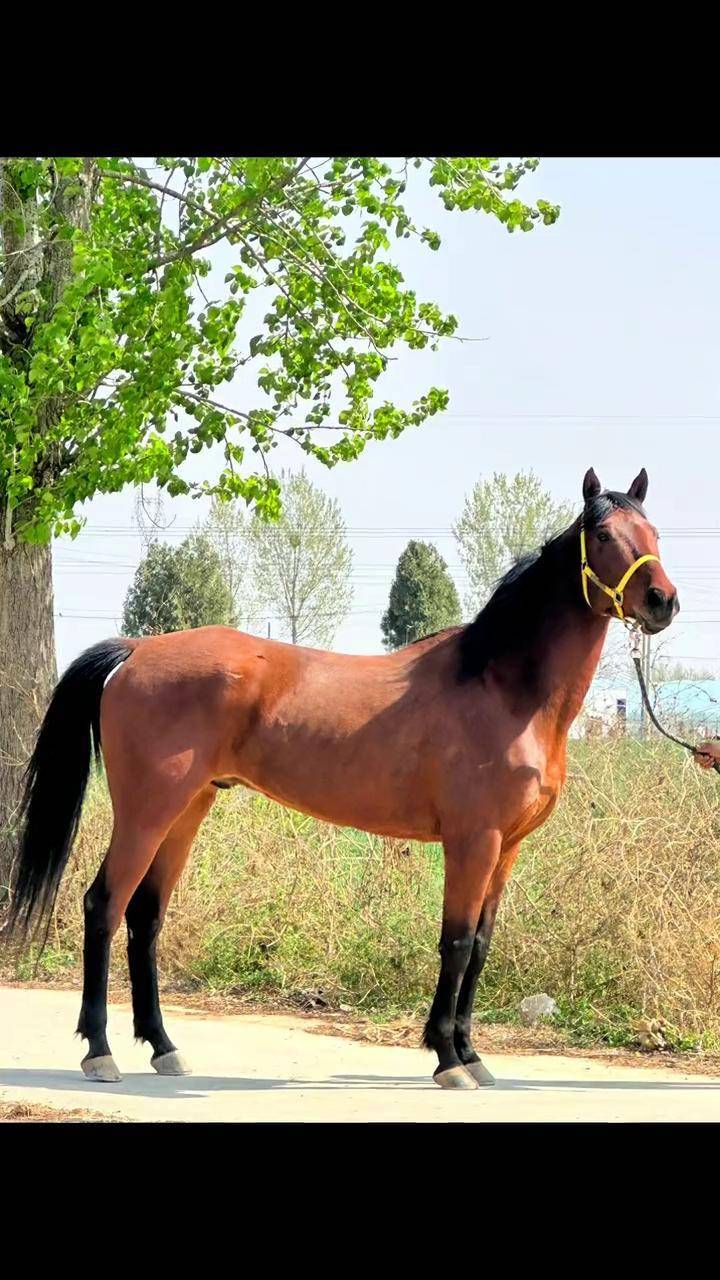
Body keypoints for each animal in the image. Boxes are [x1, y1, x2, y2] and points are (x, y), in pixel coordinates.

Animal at [4, 467, 678, 1089]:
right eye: (602, 533)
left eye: (653, 531)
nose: (662, 601)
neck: (503, 689)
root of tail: (136, 651)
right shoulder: (473, 841)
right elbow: (457, 943)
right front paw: (448, 1057)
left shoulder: (506, 848)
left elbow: (482, 946)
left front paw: (471, 1054)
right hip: (147, 811)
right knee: (104, 905)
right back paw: (99, 1051)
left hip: (188, 809)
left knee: (145, 916)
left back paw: (164, 1047)